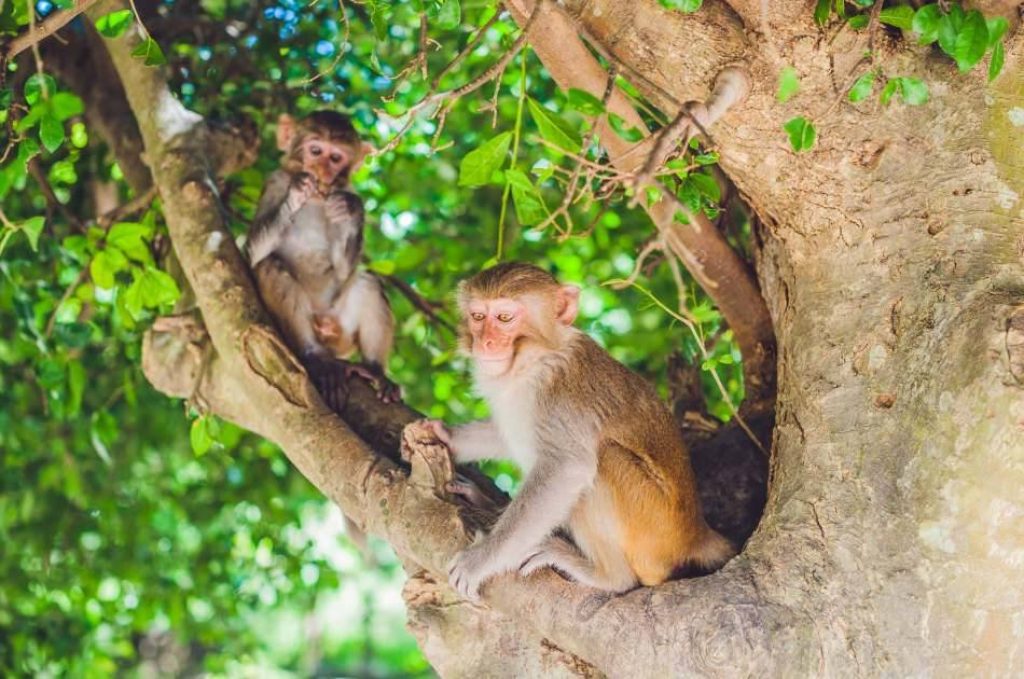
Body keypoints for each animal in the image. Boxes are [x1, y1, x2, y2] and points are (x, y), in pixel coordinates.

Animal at [246, 111, 399, 407]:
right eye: (315, 151)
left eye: (336, 157)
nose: (321, 169)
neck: (318, 199)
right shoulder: (274, 182)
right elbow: (252, 254)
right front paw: (298, 191)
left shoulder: (348, 190)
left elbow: (343, 271)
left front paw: (350, 209)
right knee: (269, 266)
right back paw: (315, 356)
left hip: (342, 333)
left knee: (368, 281)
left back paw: (375, 370)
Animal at [426, 262, 734, 600]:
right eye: (478, 317)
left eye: (504, 317)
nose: (485, 343)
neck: (534, 361)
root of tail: (697, 532)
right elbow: (506, 433)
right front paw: (445, 435)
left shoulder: (559, 397)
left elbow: (566, 468)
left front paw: (480, 561)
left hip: (653, 528)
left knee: (603, 461)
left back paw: (608, 576)